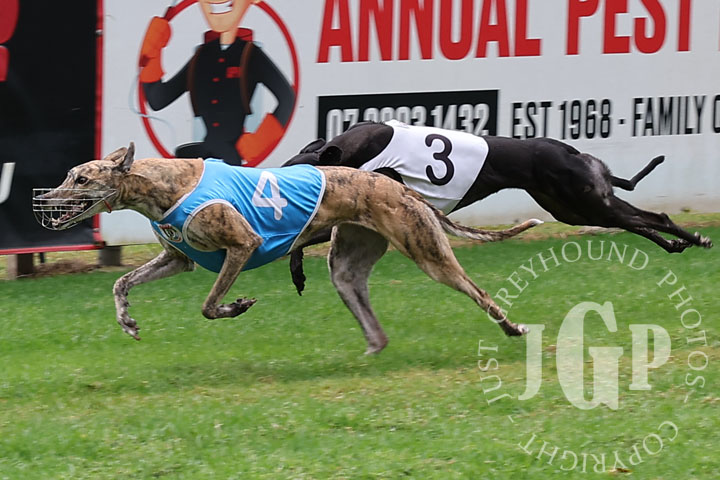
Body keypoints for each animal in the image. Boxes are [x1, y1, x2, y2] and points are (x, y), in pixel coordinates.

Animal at [33, 143, 542, 354]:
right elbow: (121, 282)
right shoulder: (176, 259)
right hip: (346, 267)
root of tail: (398, 187)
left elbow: (209, 305)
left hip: (429, 254)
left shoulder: (242, 245)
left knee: (480, 293)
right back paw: (368, 353)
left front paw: (237, 305)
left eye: (81, 179)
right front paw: (128, 321)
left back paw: (513, 329)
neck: (162, 184)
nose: (46, 198)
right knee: (372, 324)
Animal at [283, 120, 713, 293]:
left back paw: (695, 240)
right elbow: (300, 240)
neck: (351, 149)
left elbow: (302, 238)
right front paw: (297, 273)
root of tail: (571, 151)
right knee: (635, 221)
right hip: (576, 209)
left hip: (587, 202)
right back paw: (675, 244)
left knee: (654, 216)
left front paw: (297, 271)